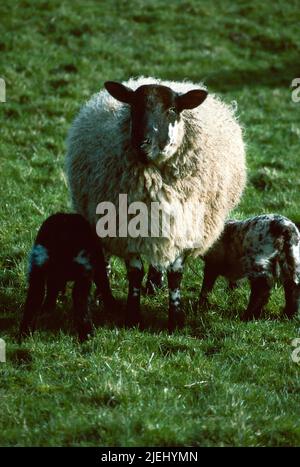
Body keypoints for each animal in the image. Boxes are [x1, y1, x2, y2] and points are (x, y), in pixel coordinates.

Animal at [65, 77, 246, 330]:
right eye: (133, 107)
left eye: (172, 110)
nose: (143, 143)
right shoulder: (124, 228)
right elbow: (134, 272)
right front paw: (132, 316)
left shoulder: (184, 228)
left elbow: (175, 274)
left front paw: (176, 318)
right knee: (104, 257)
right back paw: (103, 295)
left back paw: (154, 284)